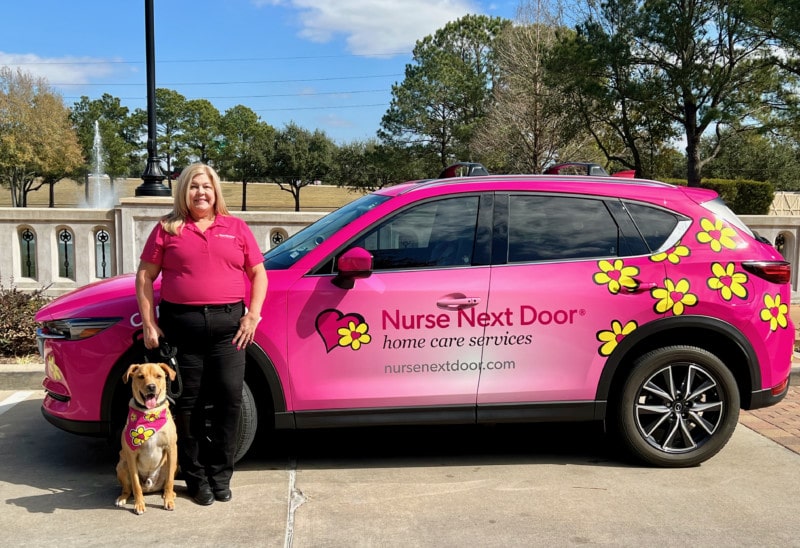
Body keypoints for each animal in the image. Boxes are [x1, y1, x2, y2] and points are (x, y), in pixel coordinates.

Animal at [114, 364, 178, 512]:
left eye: (158, 376)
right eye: (141, 376)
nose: (151, 387)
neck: (149, 413)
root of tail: (150, 487)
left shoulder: (171, 448)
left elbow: (170, 481)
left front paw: (169, 501)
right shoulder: (131, 455)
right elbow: (136, 484)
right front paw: (139, 504)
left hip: (172, 463)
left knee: (166, 484)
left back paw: (169, 494)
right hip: (121, 465)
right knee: (128, 489)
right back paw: (122, 498)